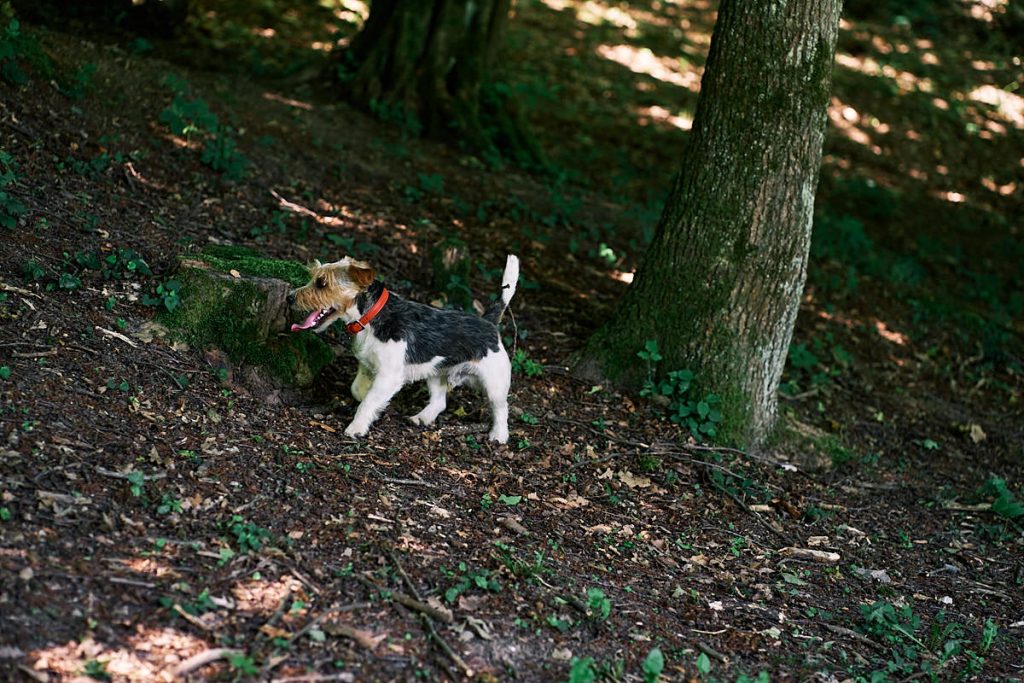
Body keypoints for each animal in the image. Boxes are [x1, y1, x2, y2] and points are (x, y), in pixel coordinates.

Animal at [288, 254, 520, 444]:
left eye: (322, 283)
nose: (290, 297)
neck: (371, 318)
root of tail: (489, 322)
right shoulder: (367, 365)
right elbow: (359, 391)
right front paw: (372, 404)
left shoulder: (389, 376)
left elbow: (368, 402)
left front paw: (357, 428)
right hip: (436, 373)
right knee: (439, 402)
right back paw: (422, 418)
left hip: (495, 383)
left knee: (501, 409)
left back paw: (499, 436)